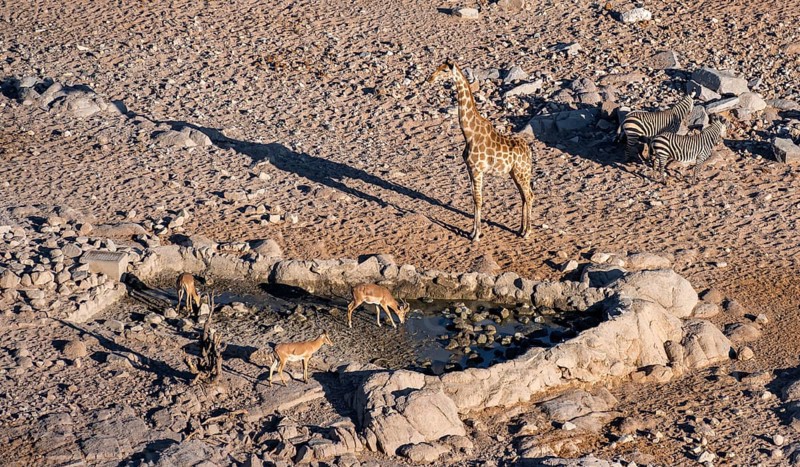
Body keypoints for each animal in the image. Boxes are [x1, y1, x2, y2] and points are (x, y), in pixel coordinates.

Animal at [428, 60, 534, 241]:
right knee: (523, 196)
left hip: (522, 172)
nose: (430, 78)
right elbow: (474, 198)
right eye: (437, 67)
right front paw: (472, 232)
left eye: (444, 70)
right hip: (515, 173)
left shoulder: (477, 169)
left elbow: (479, 199)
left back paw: (527, 232)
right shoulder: (470, 169)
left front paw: (476, 235)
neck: (469, 134)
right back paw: (520, 229)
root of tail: (529, 152)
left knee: (529, 195)